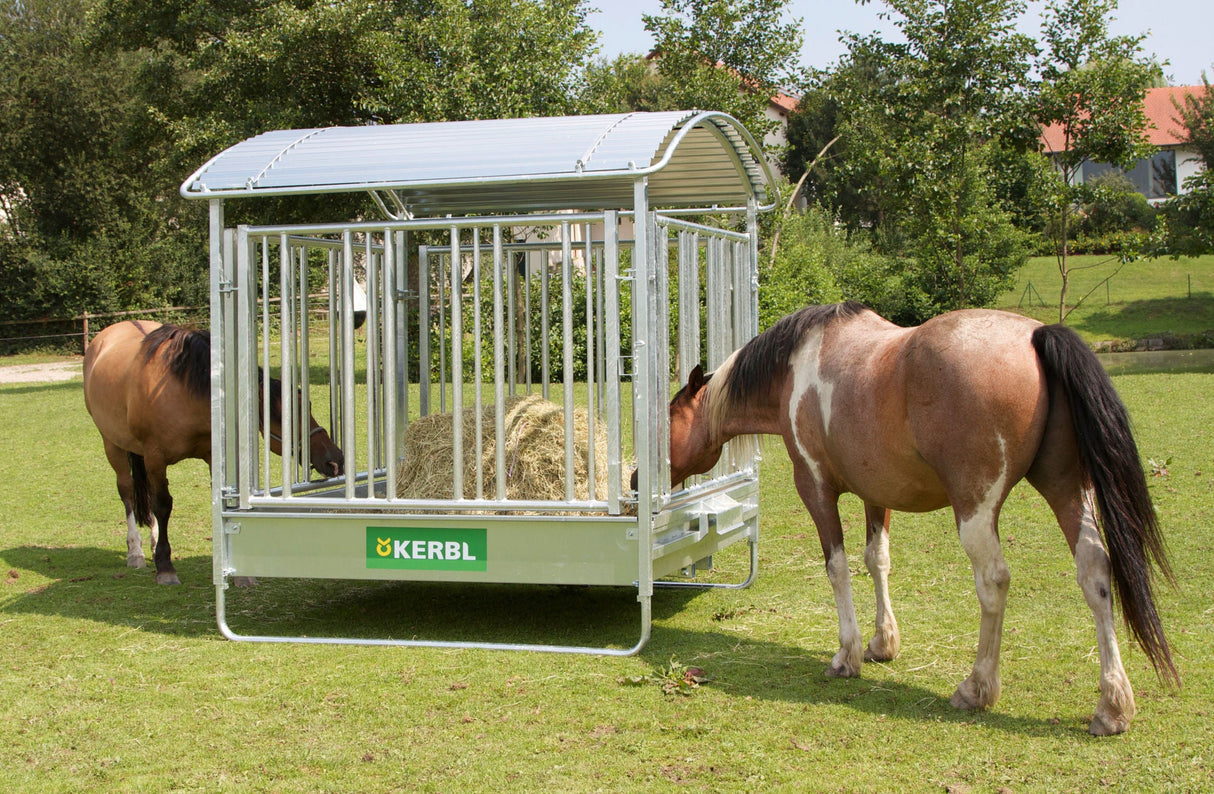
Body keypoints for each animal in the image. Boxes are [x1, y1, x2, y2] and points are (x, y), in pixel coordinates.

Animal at [82, 320, 344, 585]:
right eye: (284, 417)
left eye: (308, 405)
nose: (335, 460)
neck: (181, 392)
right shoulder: (155, 457)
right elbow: (162, 504)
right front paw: (165, 567)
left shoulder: (211, 456)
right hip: (112, 445)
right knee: (127, 492)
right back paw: (135, 551)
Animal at [664, 302, 1177, 735]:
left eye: (666, 418)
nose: (648, 478)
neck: (795, 370)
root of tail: (1036, 335)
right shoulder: (877, 494)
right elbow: (877, 560)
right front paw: (882, 643)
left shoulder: (815, 488)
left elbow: (837, 567)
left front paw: (848, 654)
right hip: (1066, 489)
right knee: (1094, 572)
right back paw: (1112, 707)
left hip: (976, 510)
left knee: (994, 581)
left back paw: (977, 688)